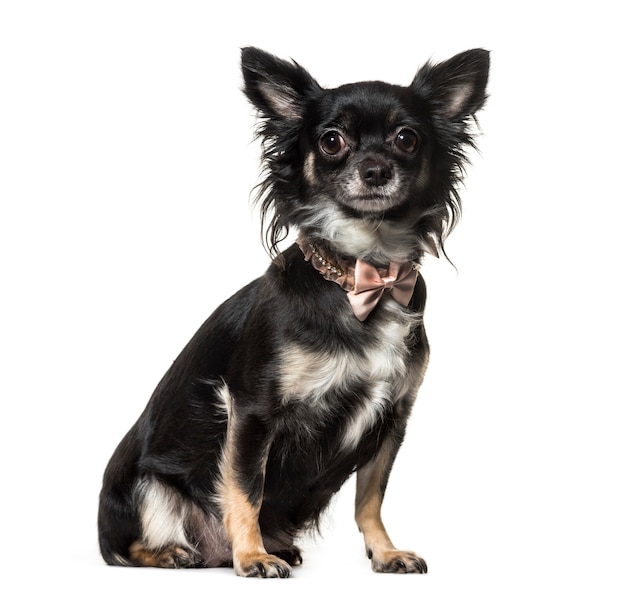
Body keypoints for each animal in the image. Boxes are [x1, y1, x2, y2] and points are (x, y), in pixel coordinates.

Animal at [96, 45, 488, 576]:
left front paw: (384, 552)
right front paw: (251, 556)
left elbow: (371, 498)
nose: (375, 170)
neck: (361, 274)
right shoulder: (252, 411)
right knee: (126, 547)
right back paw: (176, 551)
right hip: (143, 488)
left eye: (406, 139)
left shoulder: (392, 418)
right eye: (331, 141)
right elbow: (246, 489)